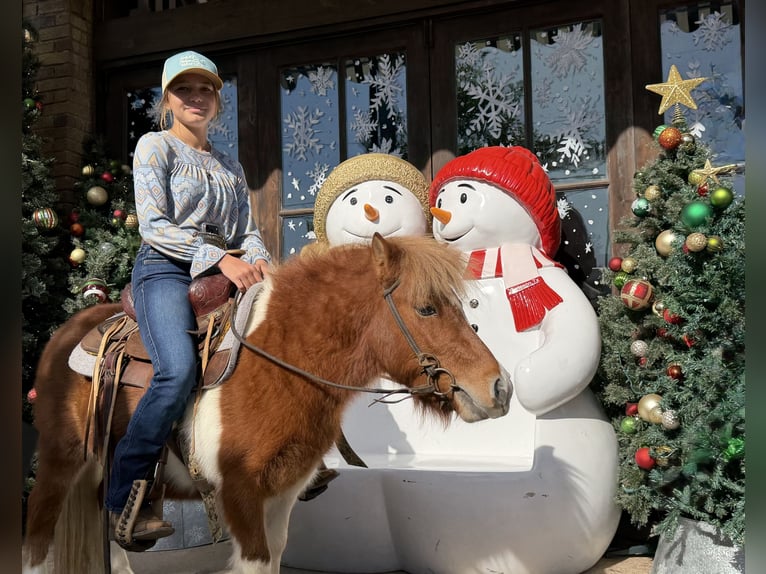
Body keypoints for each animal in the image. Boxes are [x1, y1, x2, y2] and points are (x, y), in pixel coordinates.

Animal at [22, 233, 512, 574]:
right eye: (427, 308)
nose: (500, 387)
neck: (282, 360)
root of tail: (65, 333)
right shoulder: (239, 492)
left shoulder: (284, 492)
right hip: (61, 460)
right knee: (37, 540)